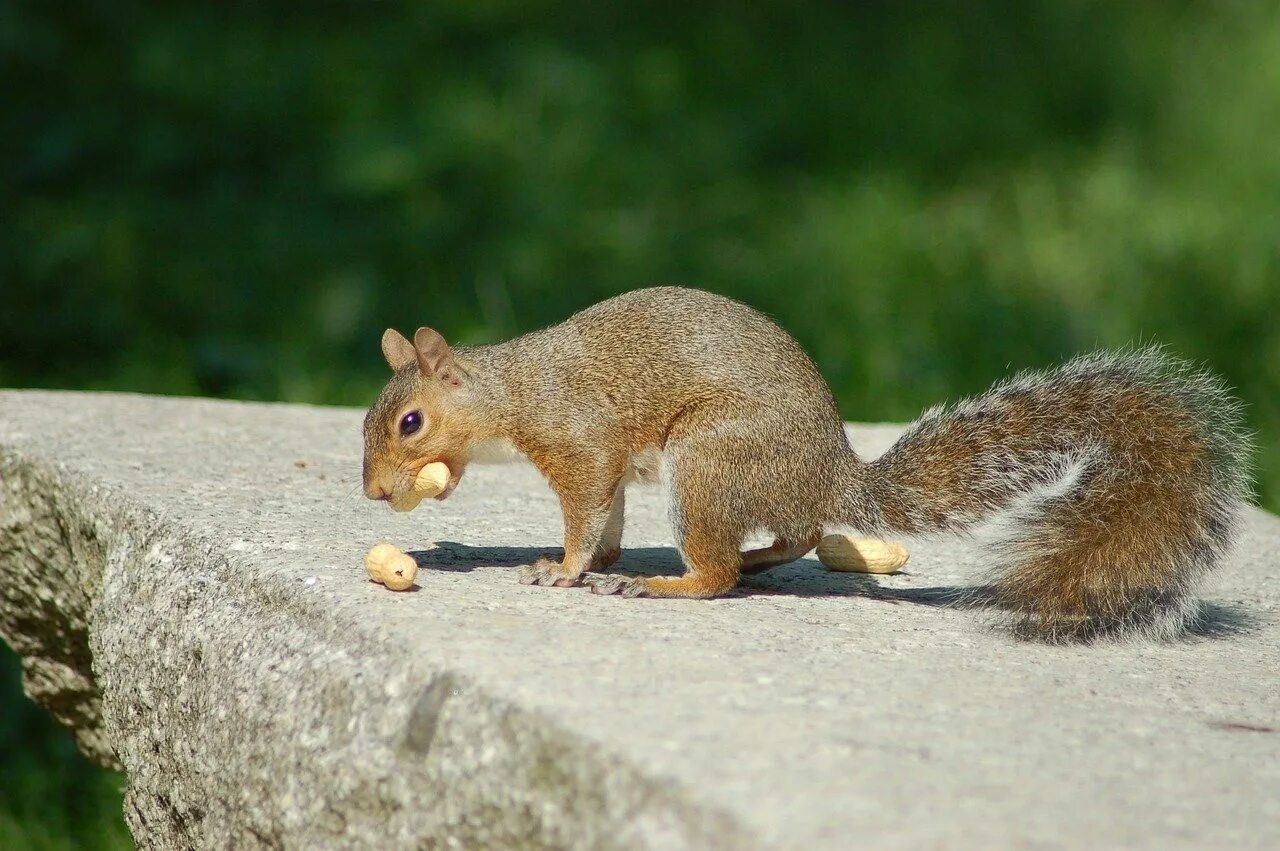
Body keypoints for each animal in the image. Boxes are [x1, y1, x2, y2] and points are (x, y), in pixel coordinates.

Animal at [360, 284, 1249, 637]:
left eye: (410, 421)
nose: (373, 491)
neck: (511, 390)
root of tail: (834, 469)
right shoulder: (607, 468)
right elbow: (607, 515)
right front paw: (597, 557)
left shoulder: (578, 443)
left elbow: (585, 514)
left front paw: (567, 567)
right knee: (794, 533)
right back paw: (756, 560)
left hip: (709, 460)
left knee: (717, 571)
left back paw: (668, 580)